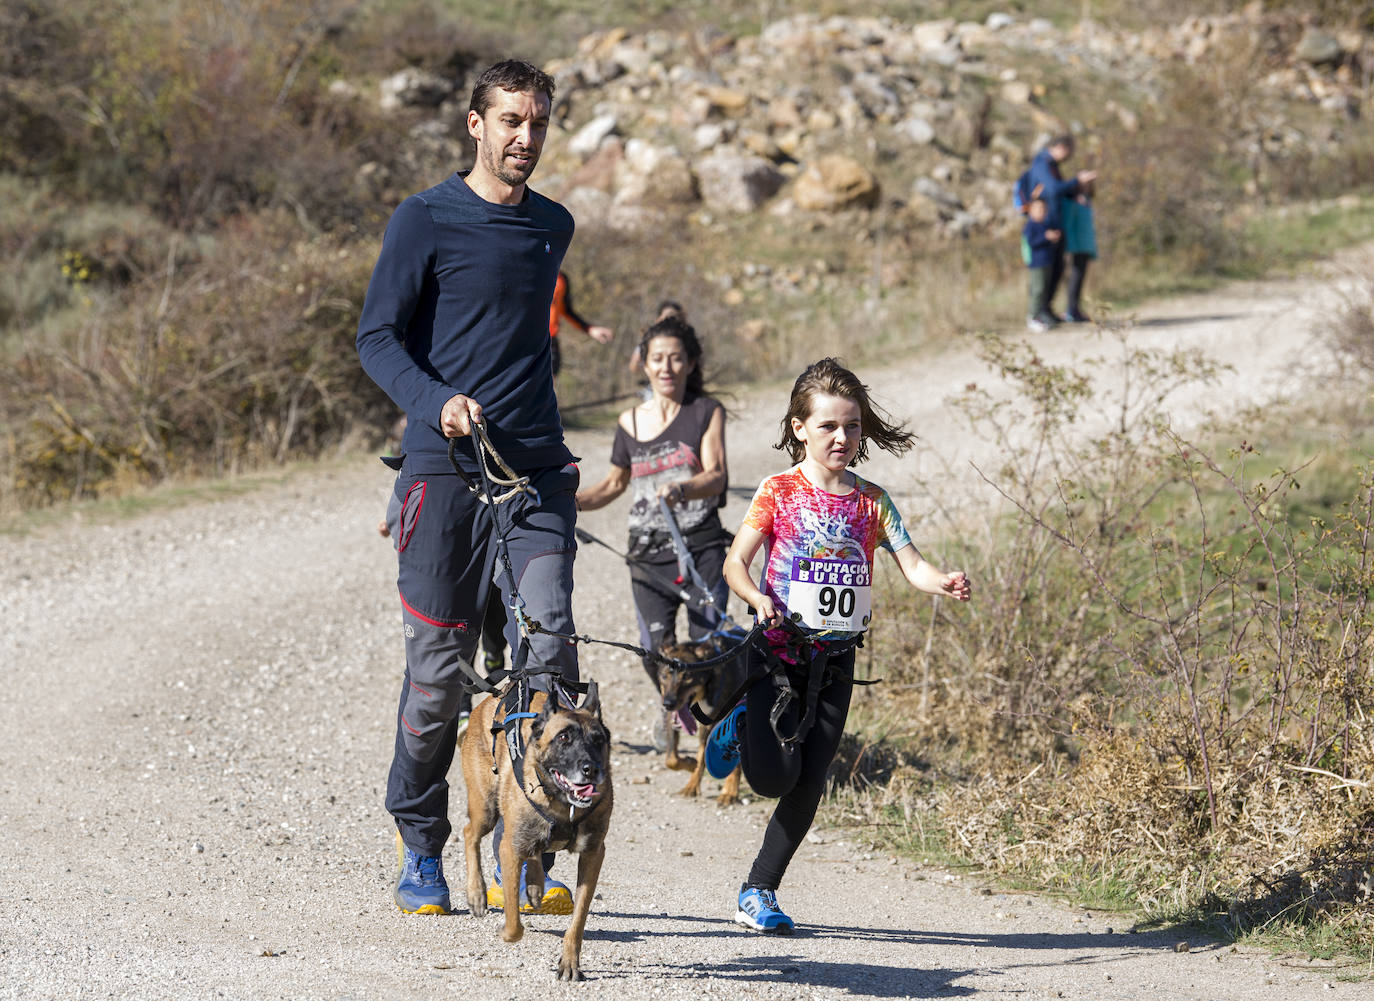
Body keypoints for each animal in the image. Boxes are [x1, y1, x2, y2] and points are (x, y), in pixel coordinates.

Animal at [461, 675, 612, 977]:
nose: (591, 769)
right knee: (469, 833)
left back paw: (534, 885)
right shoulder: (509, 849)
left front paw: (570, 961)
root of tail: (493, 697)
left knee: (536, 851)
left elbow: (578, 920)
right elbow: (513, 924)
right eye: (563, 737)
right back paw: (477, 893)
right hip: (486, 808)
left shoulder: (592, 855)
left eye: (598, 740)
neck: (563, 806)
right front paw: (504, 930)